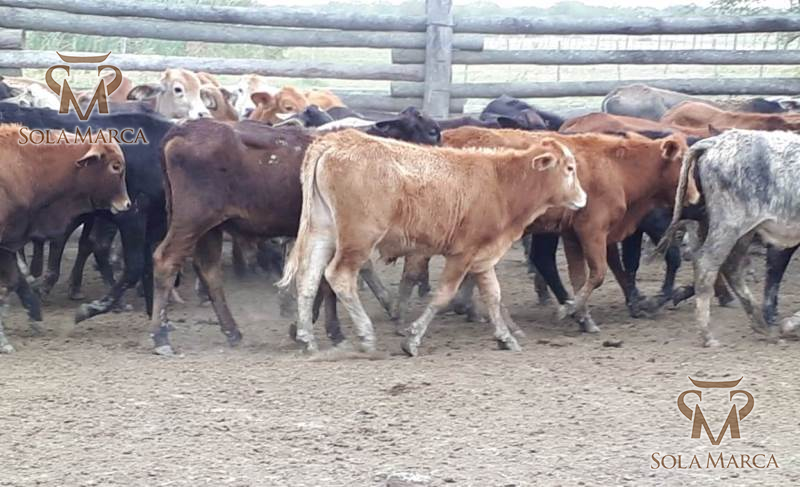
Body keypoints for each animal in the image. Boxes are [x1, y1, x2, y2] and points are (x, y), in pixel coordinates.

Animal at [277, 129, 585, 356]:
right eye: (570, 168)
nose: (583, 198)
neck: (500, 183)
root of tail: (333, 141)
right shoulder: (462, 254)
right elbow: (443, 295)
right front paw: (412, 339)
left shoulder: (483, 256)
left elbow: (494, 296)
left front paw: (505, 337)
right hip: (358, 238)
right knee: (338, 276)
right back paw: (365, 334)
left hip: (322, 230)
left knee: (308, 277)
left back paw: (306, 337)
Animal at [438, 127, 698, 333]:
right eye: (682, 163)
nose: (696, 197)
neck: (615, 167)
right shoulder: (592, 230)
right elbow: (598, 273)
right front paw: (572, 310)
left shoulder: (573, 235)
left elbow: (581, 276)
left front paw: (583, 316)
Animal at [654, 129, 800, 347]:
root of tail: (715, 141)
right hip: (729, 224)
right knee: (707, 264)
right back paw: (708, 335)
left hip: (743, 231)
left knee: (731, 268)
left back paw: (762, 327)